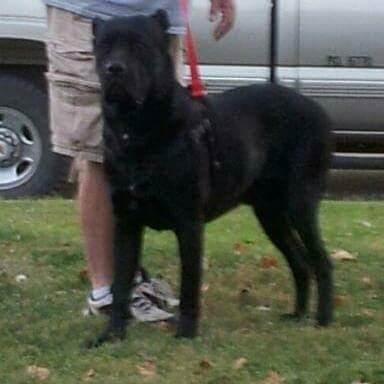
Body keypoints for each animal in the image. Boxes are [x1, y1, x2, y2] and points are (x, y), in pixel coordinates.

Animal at [91, 10, 332, 344]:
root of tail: (319, 110)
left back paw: (323, 320)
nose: (114, 68)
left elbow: (189, 283)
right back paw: (297, 314)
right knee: (300, 262)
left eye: (139, 46)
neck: (137, 131)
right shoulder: (126, 221)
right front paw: (112, 333)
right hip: (270, 214)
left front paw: (186, 333)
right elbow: (122, 281)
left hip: (300, 203)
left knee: (321, 261)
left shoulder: (189, 222)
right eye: (103, 47)